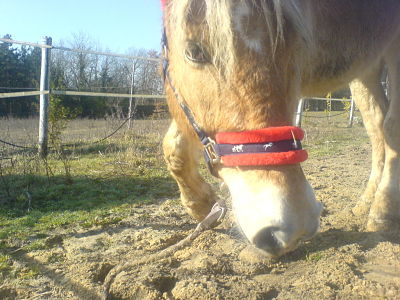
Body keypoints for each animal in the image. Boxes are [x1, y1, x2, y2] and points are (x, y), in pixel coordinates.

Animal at [161, 0, 400, 258]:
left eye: (295, 44)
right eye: (193, 52)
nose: (291, 227)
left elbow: (394, 127)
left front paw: (386, 214)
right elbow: (173, 146)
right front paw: (201, 205)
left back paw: (381, 209)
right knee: (375, 124)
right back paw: (366, 202)